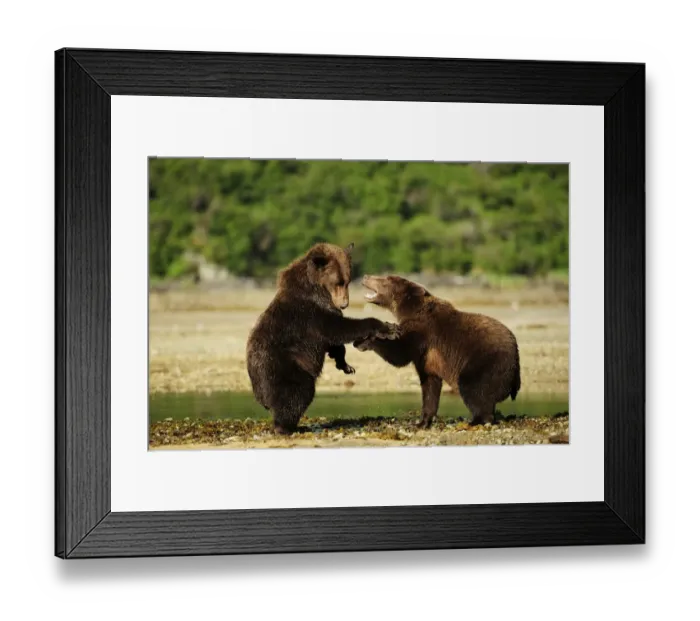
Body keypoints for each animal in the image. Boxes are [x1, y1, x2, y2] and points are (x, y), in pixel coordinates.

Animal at [246, 244, 401, 434]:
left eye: (347, 281)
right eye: (337, 282)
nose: (344, 304)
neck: (317, 288)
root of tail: (258, 392)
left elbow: (334, 342)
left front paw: (345, 364)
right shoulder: (311, 313)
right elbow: (338, 329)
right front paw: (389, 327)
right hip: (283, 367)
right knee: (297, 393)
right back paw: (288, 427)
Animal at [354, 274, 521, 428]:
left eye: (385, 278)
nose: (366, 276)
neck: (409, 309)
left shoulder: (423, 332)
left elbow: (400, 354)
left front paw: (365, 341)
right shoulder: (427, 357)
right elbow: (429, 385)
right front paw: (422, 422)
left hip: (486, 360)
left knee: (472, 386)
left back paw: (477, 420)